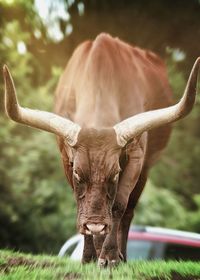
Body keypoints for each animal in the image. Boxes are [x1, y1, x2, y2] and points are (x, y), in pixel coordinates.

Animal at [2, 32, 199, 266]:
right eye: (78, 173)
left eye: (115, 174)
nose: (95, 224)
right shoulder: (65, 159)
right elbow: (80, 204)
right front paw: (89, 256)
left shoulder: (136, 156)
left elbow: (118, 206)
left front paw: (110, 255)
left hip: (146, 168)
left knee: (129, 211)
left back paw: (121, 255)